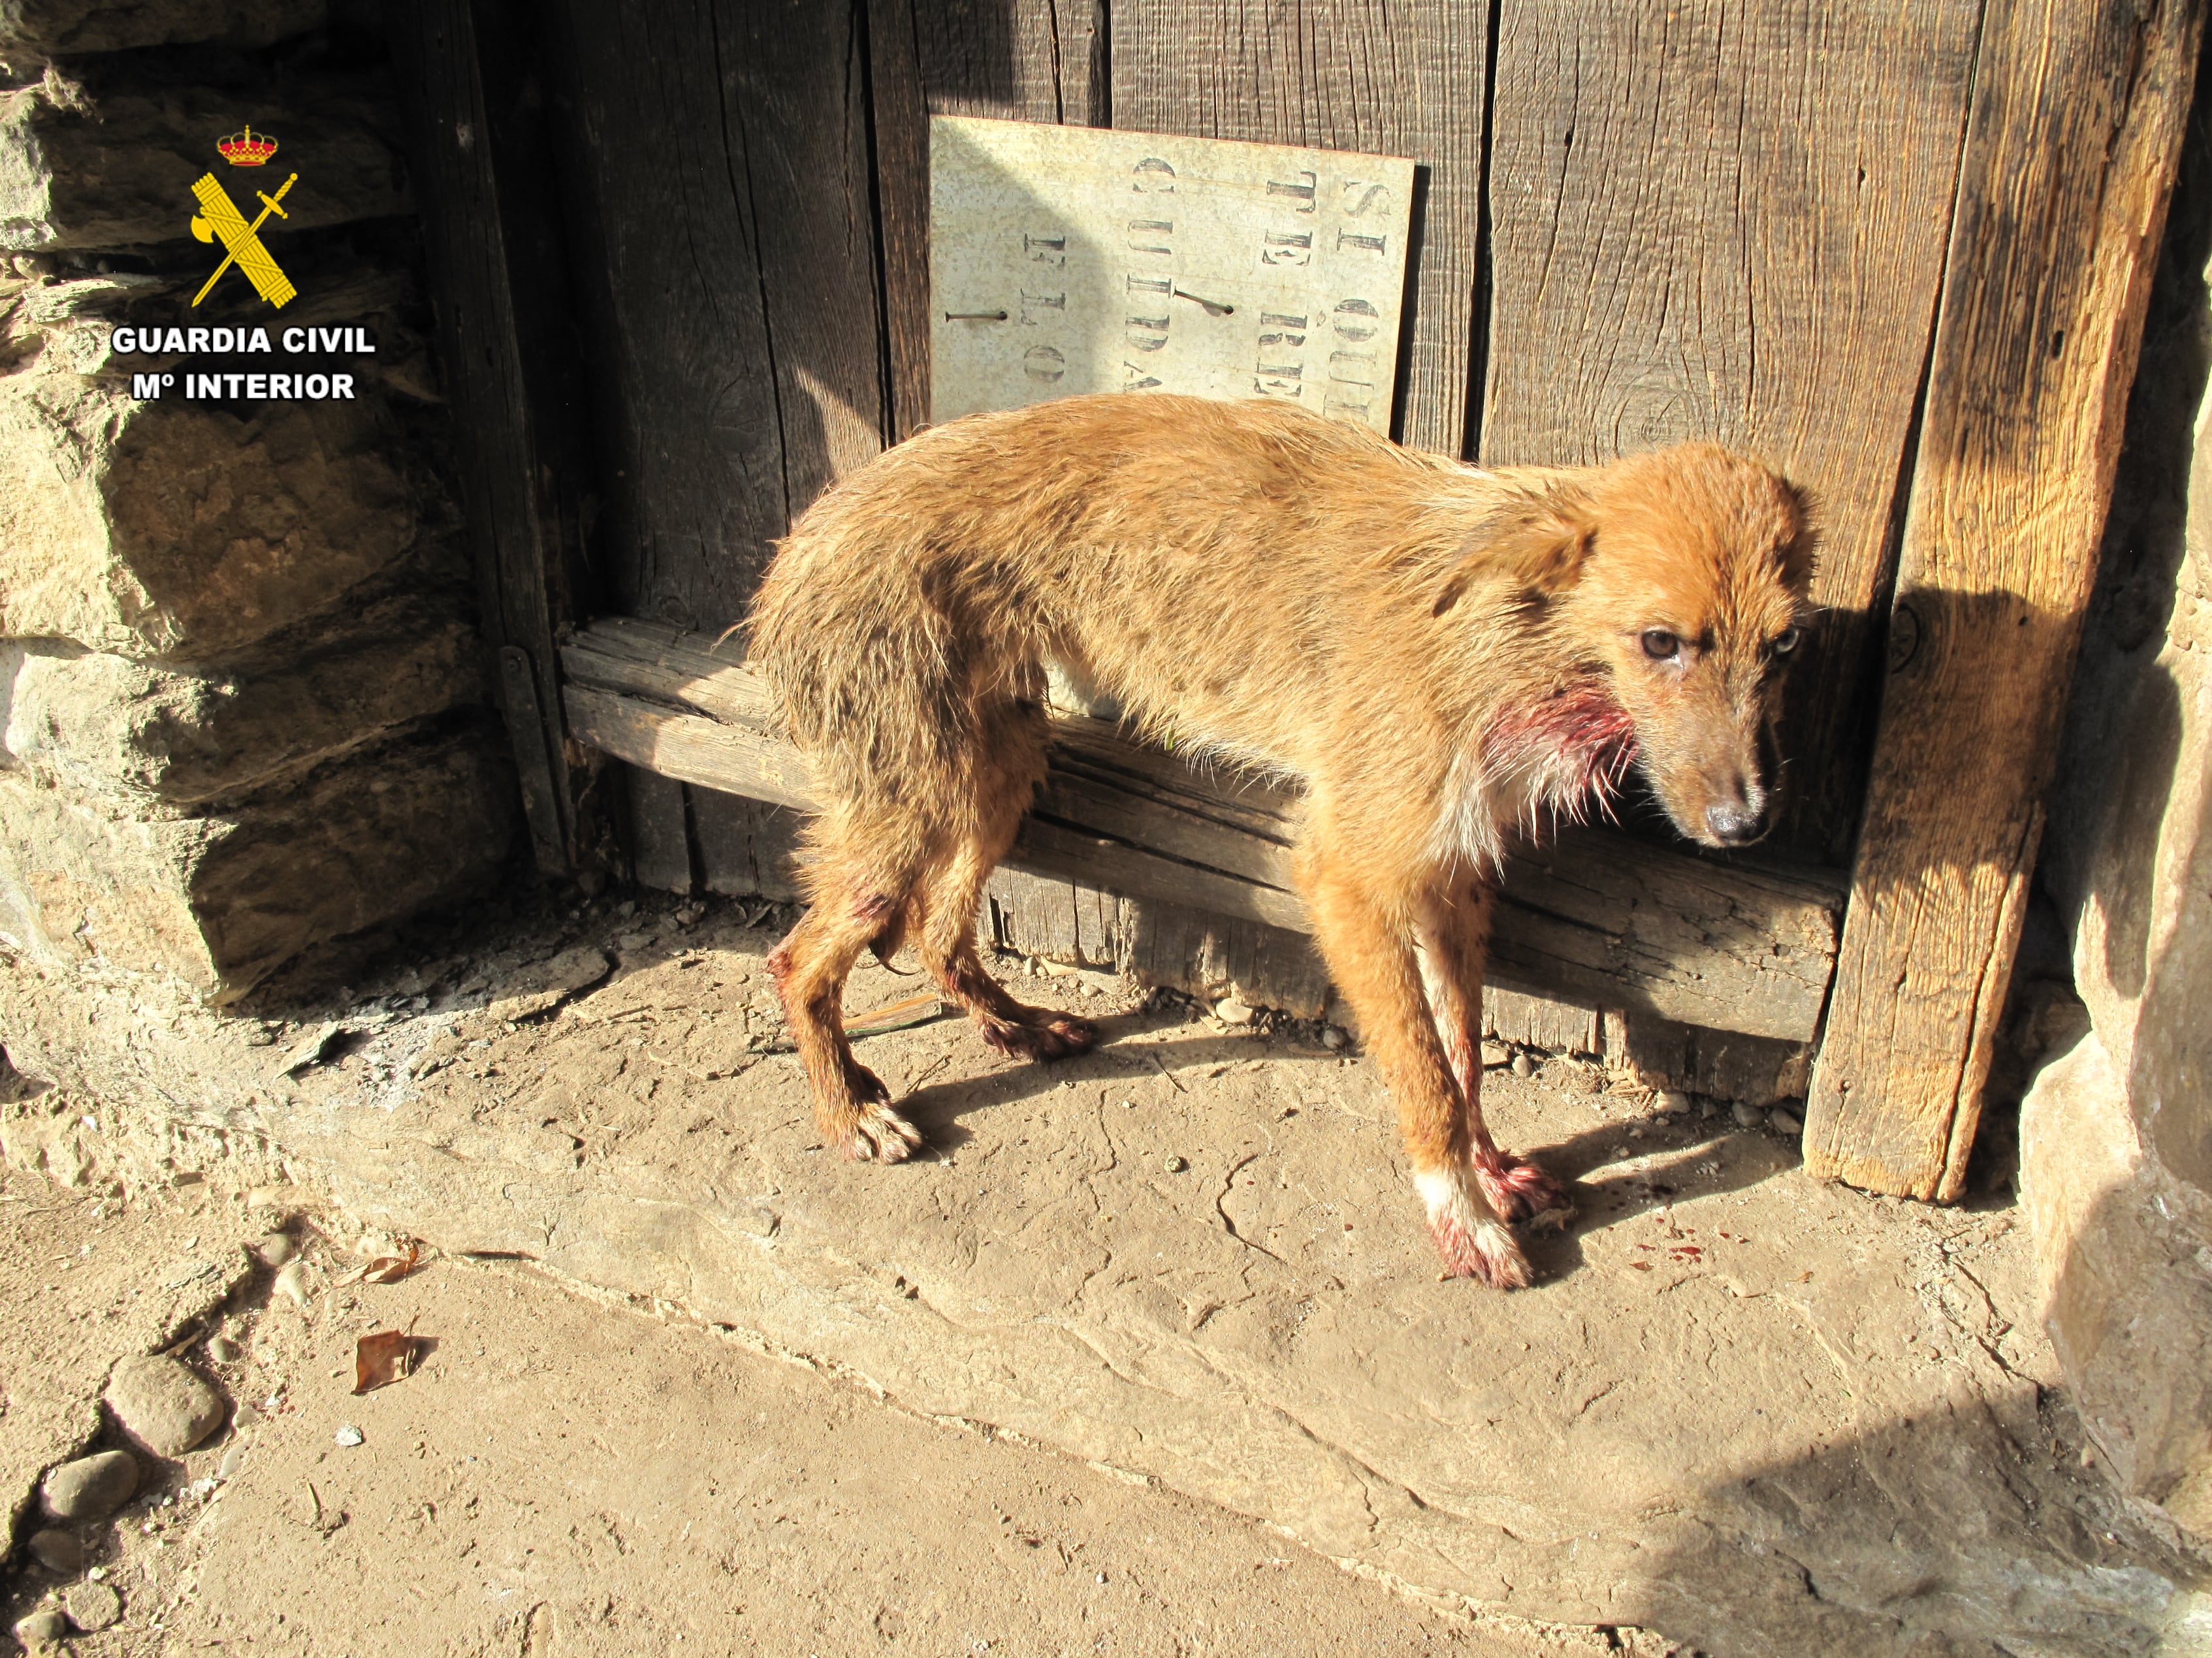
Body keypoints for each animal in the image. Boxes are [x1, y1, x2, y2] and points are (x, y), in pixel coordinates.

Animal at [747, 393, 1814, 1299]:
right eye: (1660, 641)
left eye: (1786, 647)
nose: (1748, 823)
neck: (1505, 639)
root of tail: (800, 538)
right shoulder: (1346, 873)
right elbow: (1424, 1078)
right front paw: (1461, 1216)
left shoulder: (1450, 877)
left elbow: (1464, 1055)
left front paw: (1489, 1168)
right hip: (913, 801)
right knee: (797, 959)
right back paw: (849, 1111)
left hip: (996, 773)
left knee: (938, 929)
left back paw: (1017, 1027)